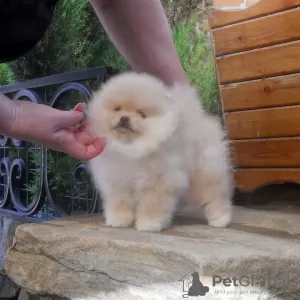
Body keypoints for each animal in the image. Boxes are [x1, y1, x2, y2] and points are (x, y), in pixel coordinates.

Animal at [85, 72, 233, 232]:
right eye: (117, 109)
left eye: (142, 114)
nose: (124, 118)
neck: (130, 147)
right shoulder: (116, 181)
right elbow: (120, 202)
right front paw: (119, 220)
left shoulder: (157, 181)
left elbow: (151, 205)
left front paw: (149, 224)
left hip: (203, 173)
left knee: (215, 194)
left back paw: (220, 219)